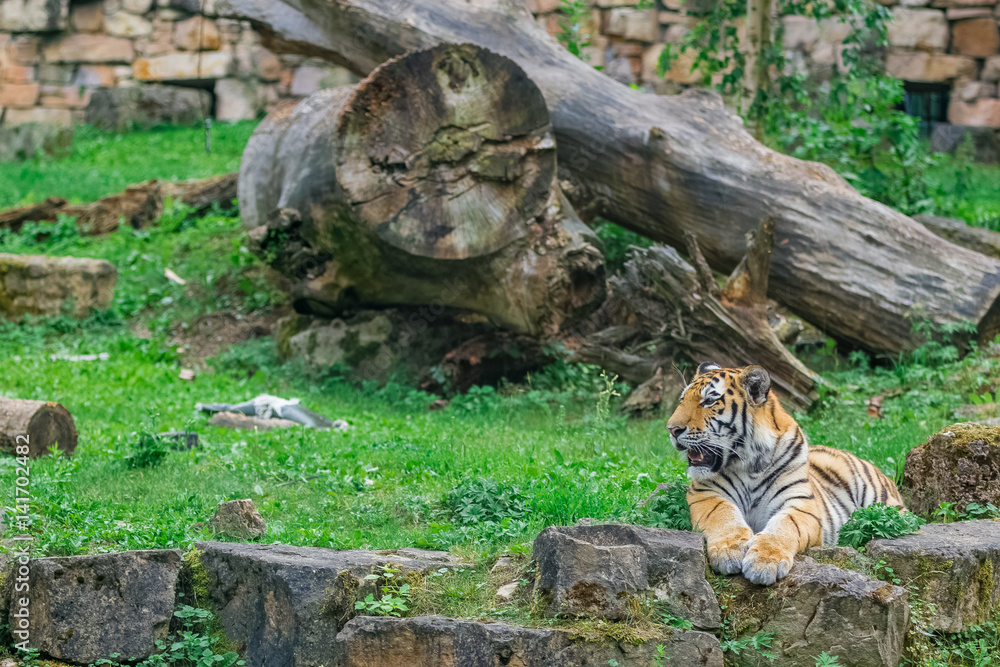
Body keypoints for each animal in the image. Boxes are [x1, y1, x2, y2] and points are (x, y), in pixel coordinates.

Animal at [664, 360, 908, 584]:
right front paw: (729, 551)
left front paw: (764, 562)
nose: (672, 429)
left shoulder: (800, 503)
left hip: (885, 504)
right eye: (682, 400)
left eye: (709, 401)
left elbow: (784, 526)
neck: (749, 463)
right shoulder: (705, 493)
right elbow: (722, 515)